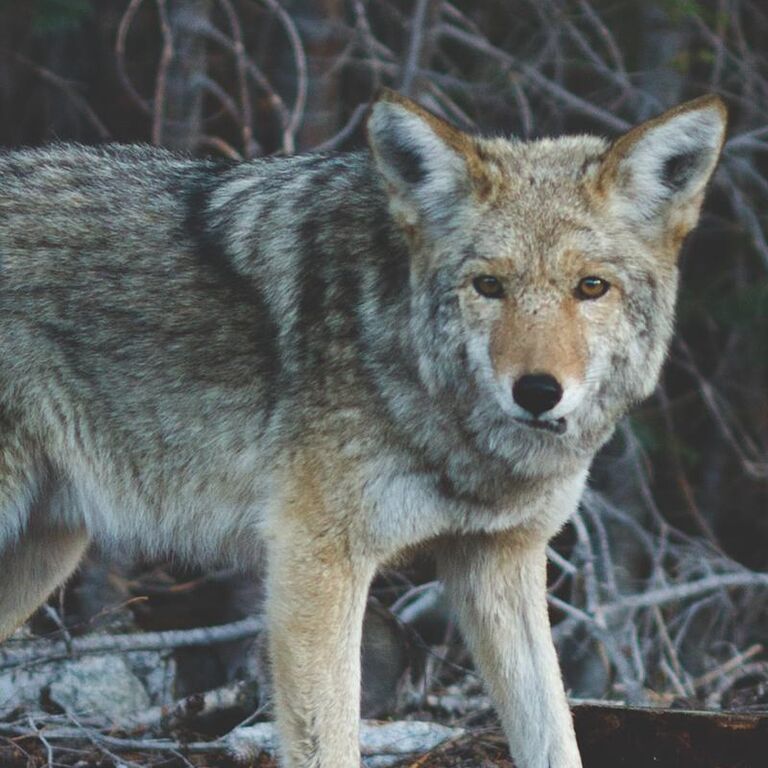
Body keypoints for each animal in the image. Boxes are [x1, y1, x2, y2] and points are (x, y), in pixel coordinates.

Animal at [0, 89, 726, 767]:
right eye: (488, 286)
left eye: (591, 287)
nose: (538, 391)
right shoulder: (314, 561)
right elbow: (332, 741)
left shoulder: (500, 558)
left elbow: (555, 733)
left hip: (47, 550)